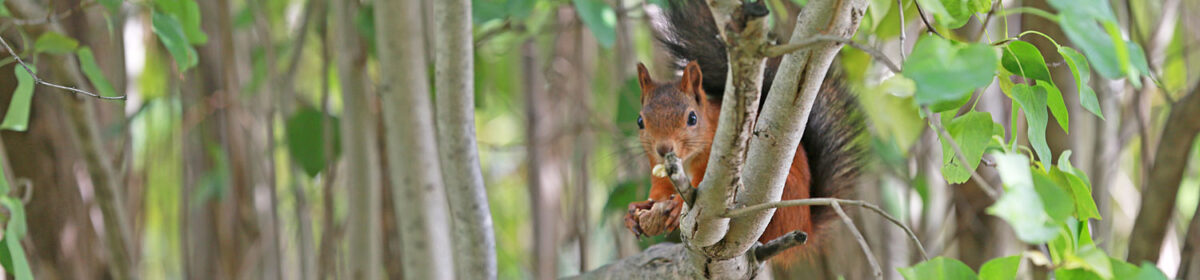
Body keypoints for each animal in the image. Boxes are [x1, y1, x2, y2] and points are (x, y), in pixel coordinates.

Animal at [624, 0, 868, 261]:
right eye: (640, 121)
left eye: (692, 118)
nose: (664, 148)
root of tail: (806, 223)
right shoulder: (657, 167)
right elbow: (659, 190)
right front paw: (636, 210)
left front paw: (678, 205)